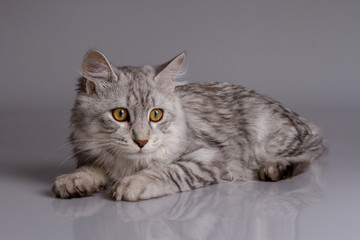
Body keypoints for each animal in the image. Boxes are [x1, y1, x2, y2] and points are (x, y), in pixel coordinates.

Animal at [52, 49, 324, 202]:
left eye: (156, 115)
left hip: (270, 136)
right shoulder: (89, 153)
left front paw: (134, 183)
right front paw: (75, 181)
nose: (141, 141)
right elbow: (89, 169)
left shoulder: (209, 155)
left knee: (310, 154)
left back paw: (276, 168)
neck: (128, 164)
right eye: (120, 114)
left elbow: (168, 170)